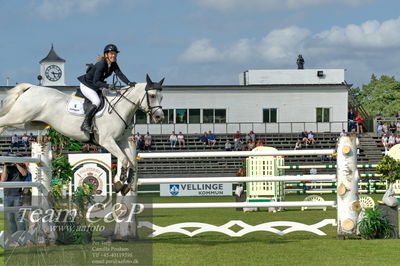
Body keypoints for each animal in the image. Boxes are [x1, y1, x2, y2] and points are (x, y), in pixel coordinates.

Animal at [0, 75, 165, 193]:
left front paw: (125, 185)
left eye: (161, 97)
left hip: (30, 122)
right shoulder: (107, 141)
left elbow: (129, 161)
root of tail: (32, 88)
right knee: (3, 120)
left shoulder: (122, 141)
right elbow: (124, 160)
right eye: (151, 96)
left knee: (6, 123)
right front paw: (119, 183)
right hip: (20, 117)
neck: (121, 108)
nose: (159, 117)